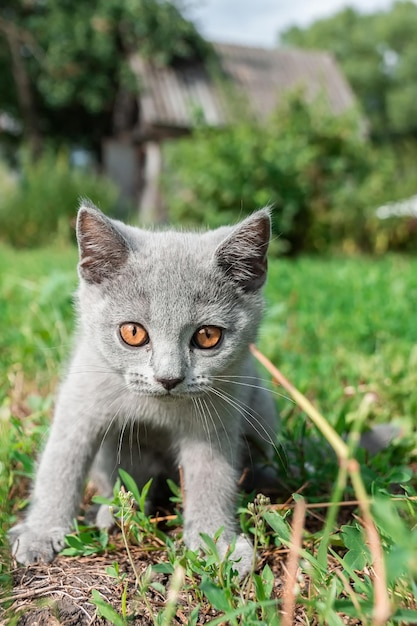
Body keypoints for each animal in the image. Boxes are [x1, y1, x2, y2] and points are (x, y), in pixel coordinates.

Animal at [8, 202, 276, 572]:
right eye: (132, 332)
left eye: (208, 336)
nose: (169, 378)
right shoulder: (80, 399)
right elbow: (59, 466)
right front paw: (40, 532)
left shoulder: (216, 421)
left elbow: (212, 479)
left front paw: (218, 544)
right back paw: (113, 514)